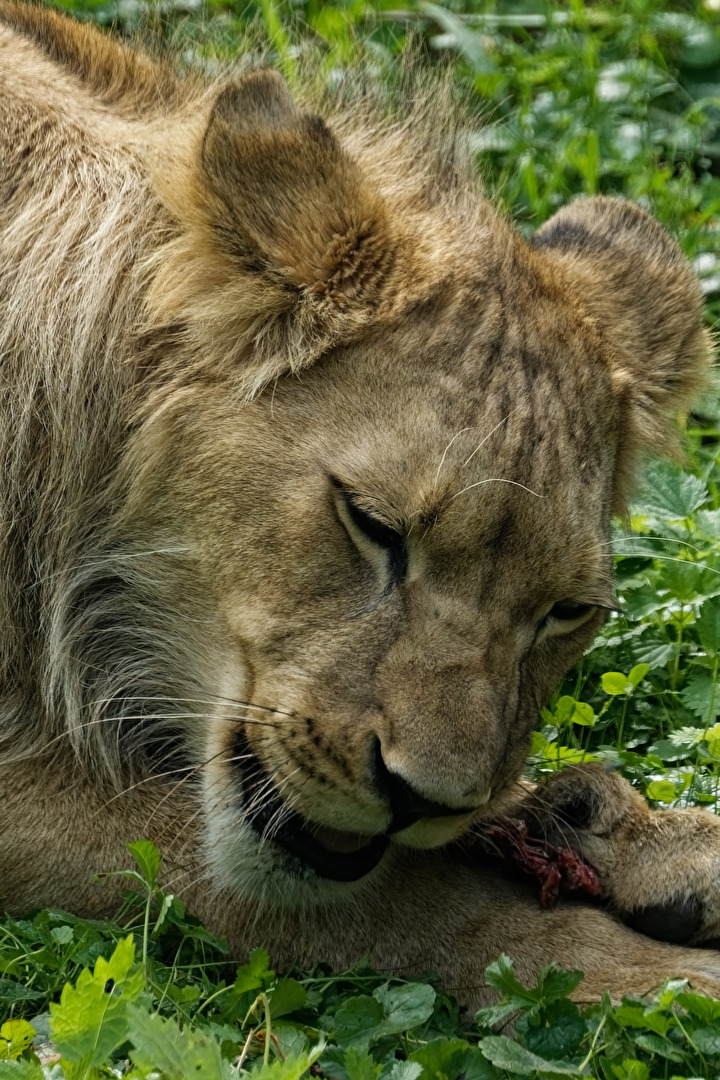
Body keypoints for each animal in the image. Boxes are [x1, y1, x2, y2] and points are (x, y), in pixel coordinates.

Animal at [2, 0, 720, 1008]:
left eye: (567, 612)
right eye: (372, 525)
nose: (423, 799)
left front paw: (652, 841)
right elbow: (411, 900)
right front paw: (649, 970)